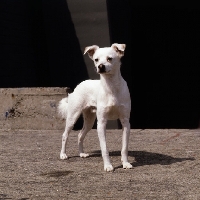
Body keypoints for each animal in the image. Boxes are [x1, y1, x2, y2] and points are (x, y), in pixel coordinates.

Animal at [57, 43, 133, 171]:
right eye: (96, 60)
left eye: (109, 58)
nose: (100, 66)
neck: (112, 87)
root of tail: (79, 85)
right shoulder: (101, 123)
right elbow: (104, 148)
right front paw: (108, 166)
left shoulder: (125, 122)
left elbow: (124, 147)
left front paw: (125, 163)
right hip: (73, 117)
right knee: (64, 135)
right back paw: (63, 154)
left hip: (89, 120)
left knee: (80, 135)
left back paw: (81, 153)